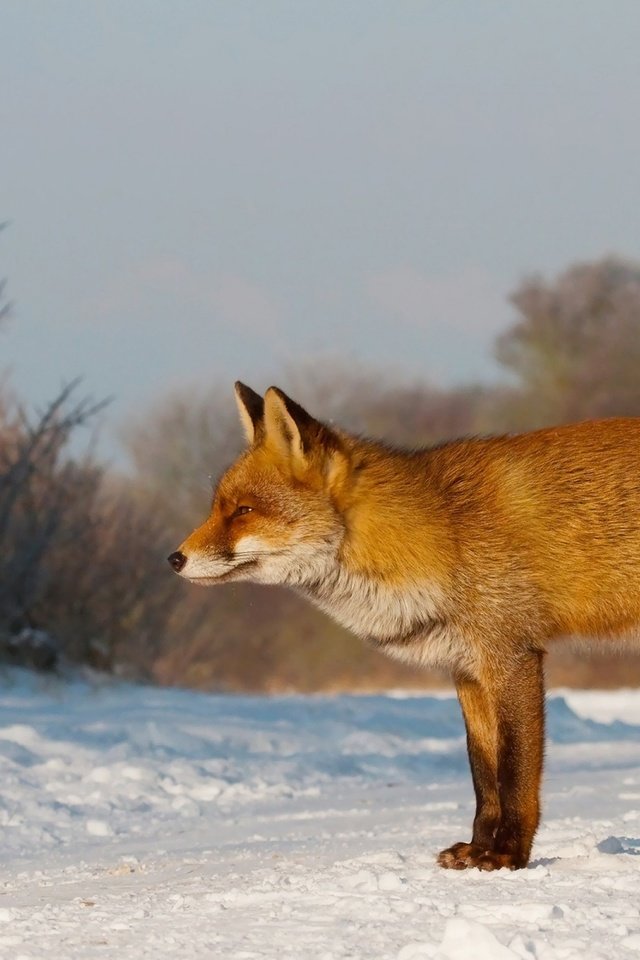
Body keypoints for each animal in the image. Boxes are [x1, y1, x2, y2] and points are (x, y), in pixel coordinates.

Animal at [169, 382, 640, 872]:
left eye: (243, 510)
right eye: (217, 509)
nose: (174, 559)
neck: (444, 534)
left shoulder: (511, 657)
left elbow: (513, 772)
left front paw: (507, 853)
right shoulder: (467, 671)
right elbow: (483, 773)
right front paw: (477, 847)